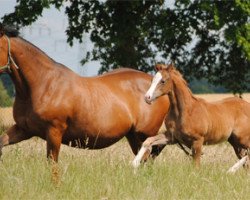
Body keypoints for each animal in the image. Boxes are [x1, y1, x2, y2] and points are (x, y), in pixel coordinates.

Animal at [0, 25, 170, 162]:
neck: (43, 84)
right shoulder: (24, 129)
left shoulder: (54, 132)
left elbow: (52, 164)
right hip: (133, 136)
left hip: (143, 134)